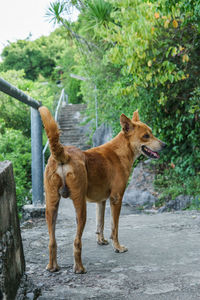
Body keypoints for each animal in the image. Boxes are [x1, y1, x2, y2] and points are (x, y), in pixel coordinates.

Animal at [39, 106, 166, 274]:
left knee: (52, 241)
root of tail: (63, 154)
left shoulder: (101, 201)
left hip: (51, 206)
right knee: (76, 242)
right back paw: (79, 268)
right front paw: (117, 247)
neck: (121, 150)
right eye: (146, 136)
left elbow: (101, 223)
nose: (165, 145)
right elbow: (114, 227)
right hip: (80, 207)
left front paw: (101, 240)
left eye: (151, 132)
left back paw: (52, 266)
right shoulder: (116, 199)